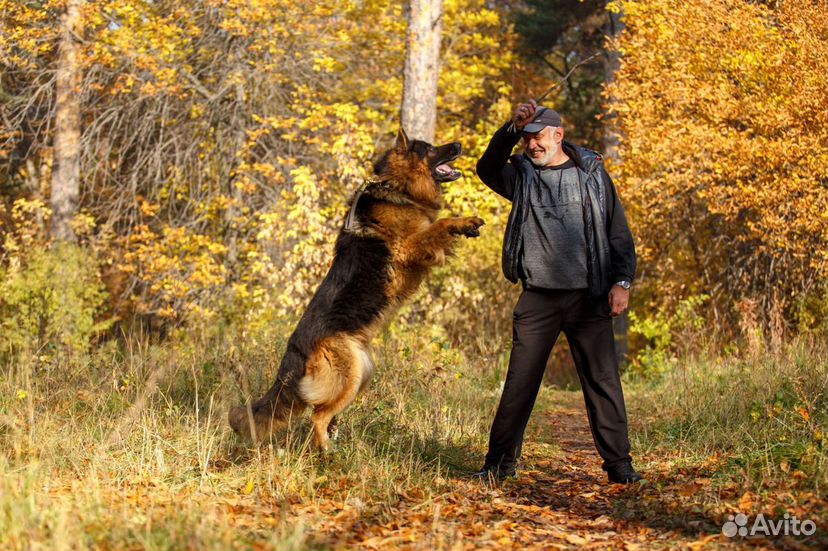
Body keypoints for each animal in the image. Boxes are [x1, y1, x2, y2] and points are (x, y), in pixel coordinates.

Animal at [228, 129, 486, 452]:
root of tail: (294, 352)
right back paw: (328, 452)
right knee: (317, 416)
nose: (460, 145)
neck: (397, 187)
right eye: (430, 148)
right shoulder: (408, 248)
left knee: (323, 413)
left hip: (363, 372)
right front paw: (463, 221)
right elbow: (439, 225)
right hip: (348, 378)